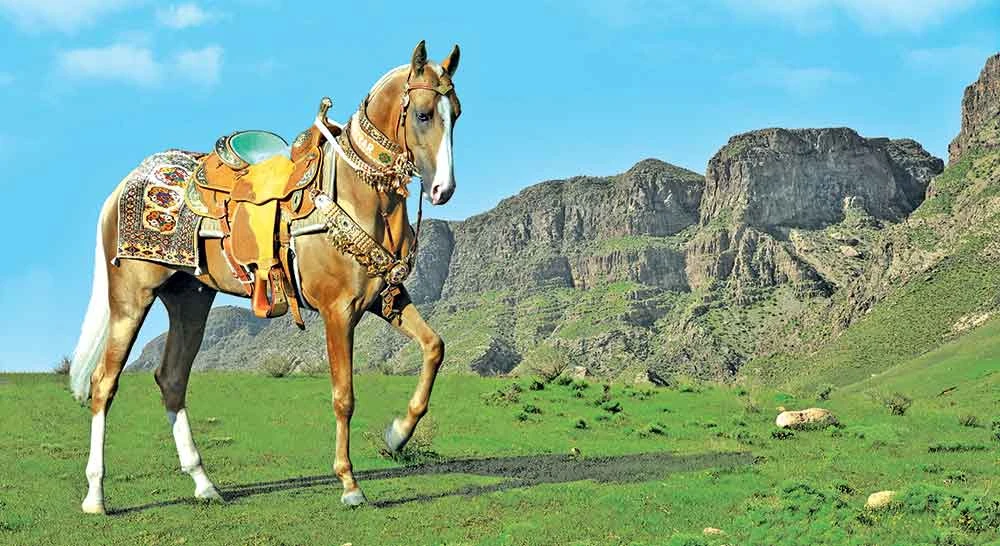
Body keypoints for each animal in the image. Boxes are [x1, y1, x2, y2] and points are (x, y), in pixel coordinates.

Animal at [67, 40, 461, 513]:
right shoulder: (339, 311)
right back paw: (95, 496)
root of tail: (121, 189)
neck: (356, 191)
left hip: (189, 300)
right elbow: (343, 395)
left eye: (457, 113)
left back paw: (204, 484)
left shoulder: (388, 297)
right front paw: (350, 484)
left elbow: (434, 347)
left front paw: (398, 434)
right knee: (103, 384)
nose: (442, 189)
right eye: (423, 113)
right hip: (131, 298)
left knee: (172, 380)